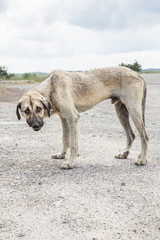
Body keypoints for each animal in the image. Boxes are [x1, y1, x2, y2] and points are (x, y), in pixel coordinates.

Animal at [15, 66, 149, 169]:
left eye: (38, 109)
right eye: (26, 111)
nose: (35, 126)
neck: (52, 88)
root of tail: (137, 74)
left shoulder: (73, 117)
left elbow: (73, 144)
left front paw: (70, 162)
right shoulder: (64, 119)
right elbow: (65, 139)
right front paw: (62, 155)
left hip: (133, 110)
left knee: (144, 136)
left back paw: (142, 159)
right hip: (121, 111)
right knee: (131, 135)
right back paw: (124, 154)